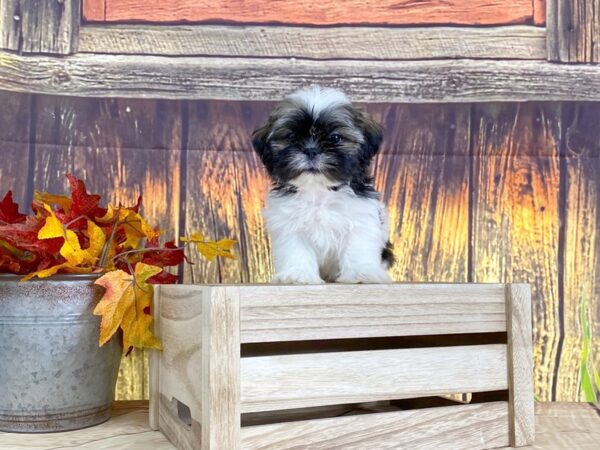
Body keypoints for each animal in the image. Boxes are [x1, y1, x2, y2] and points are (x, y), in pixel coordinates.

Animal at [250, 85, 394, 284]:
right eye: (291, 137)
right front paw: (298, 274)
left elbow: (358, 246)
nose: (311, 150)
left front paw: (360, 273)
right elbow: (296, 249)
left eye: (335, 138)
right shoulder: (290, 225)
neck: (318, 190)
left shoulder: (360, 217)